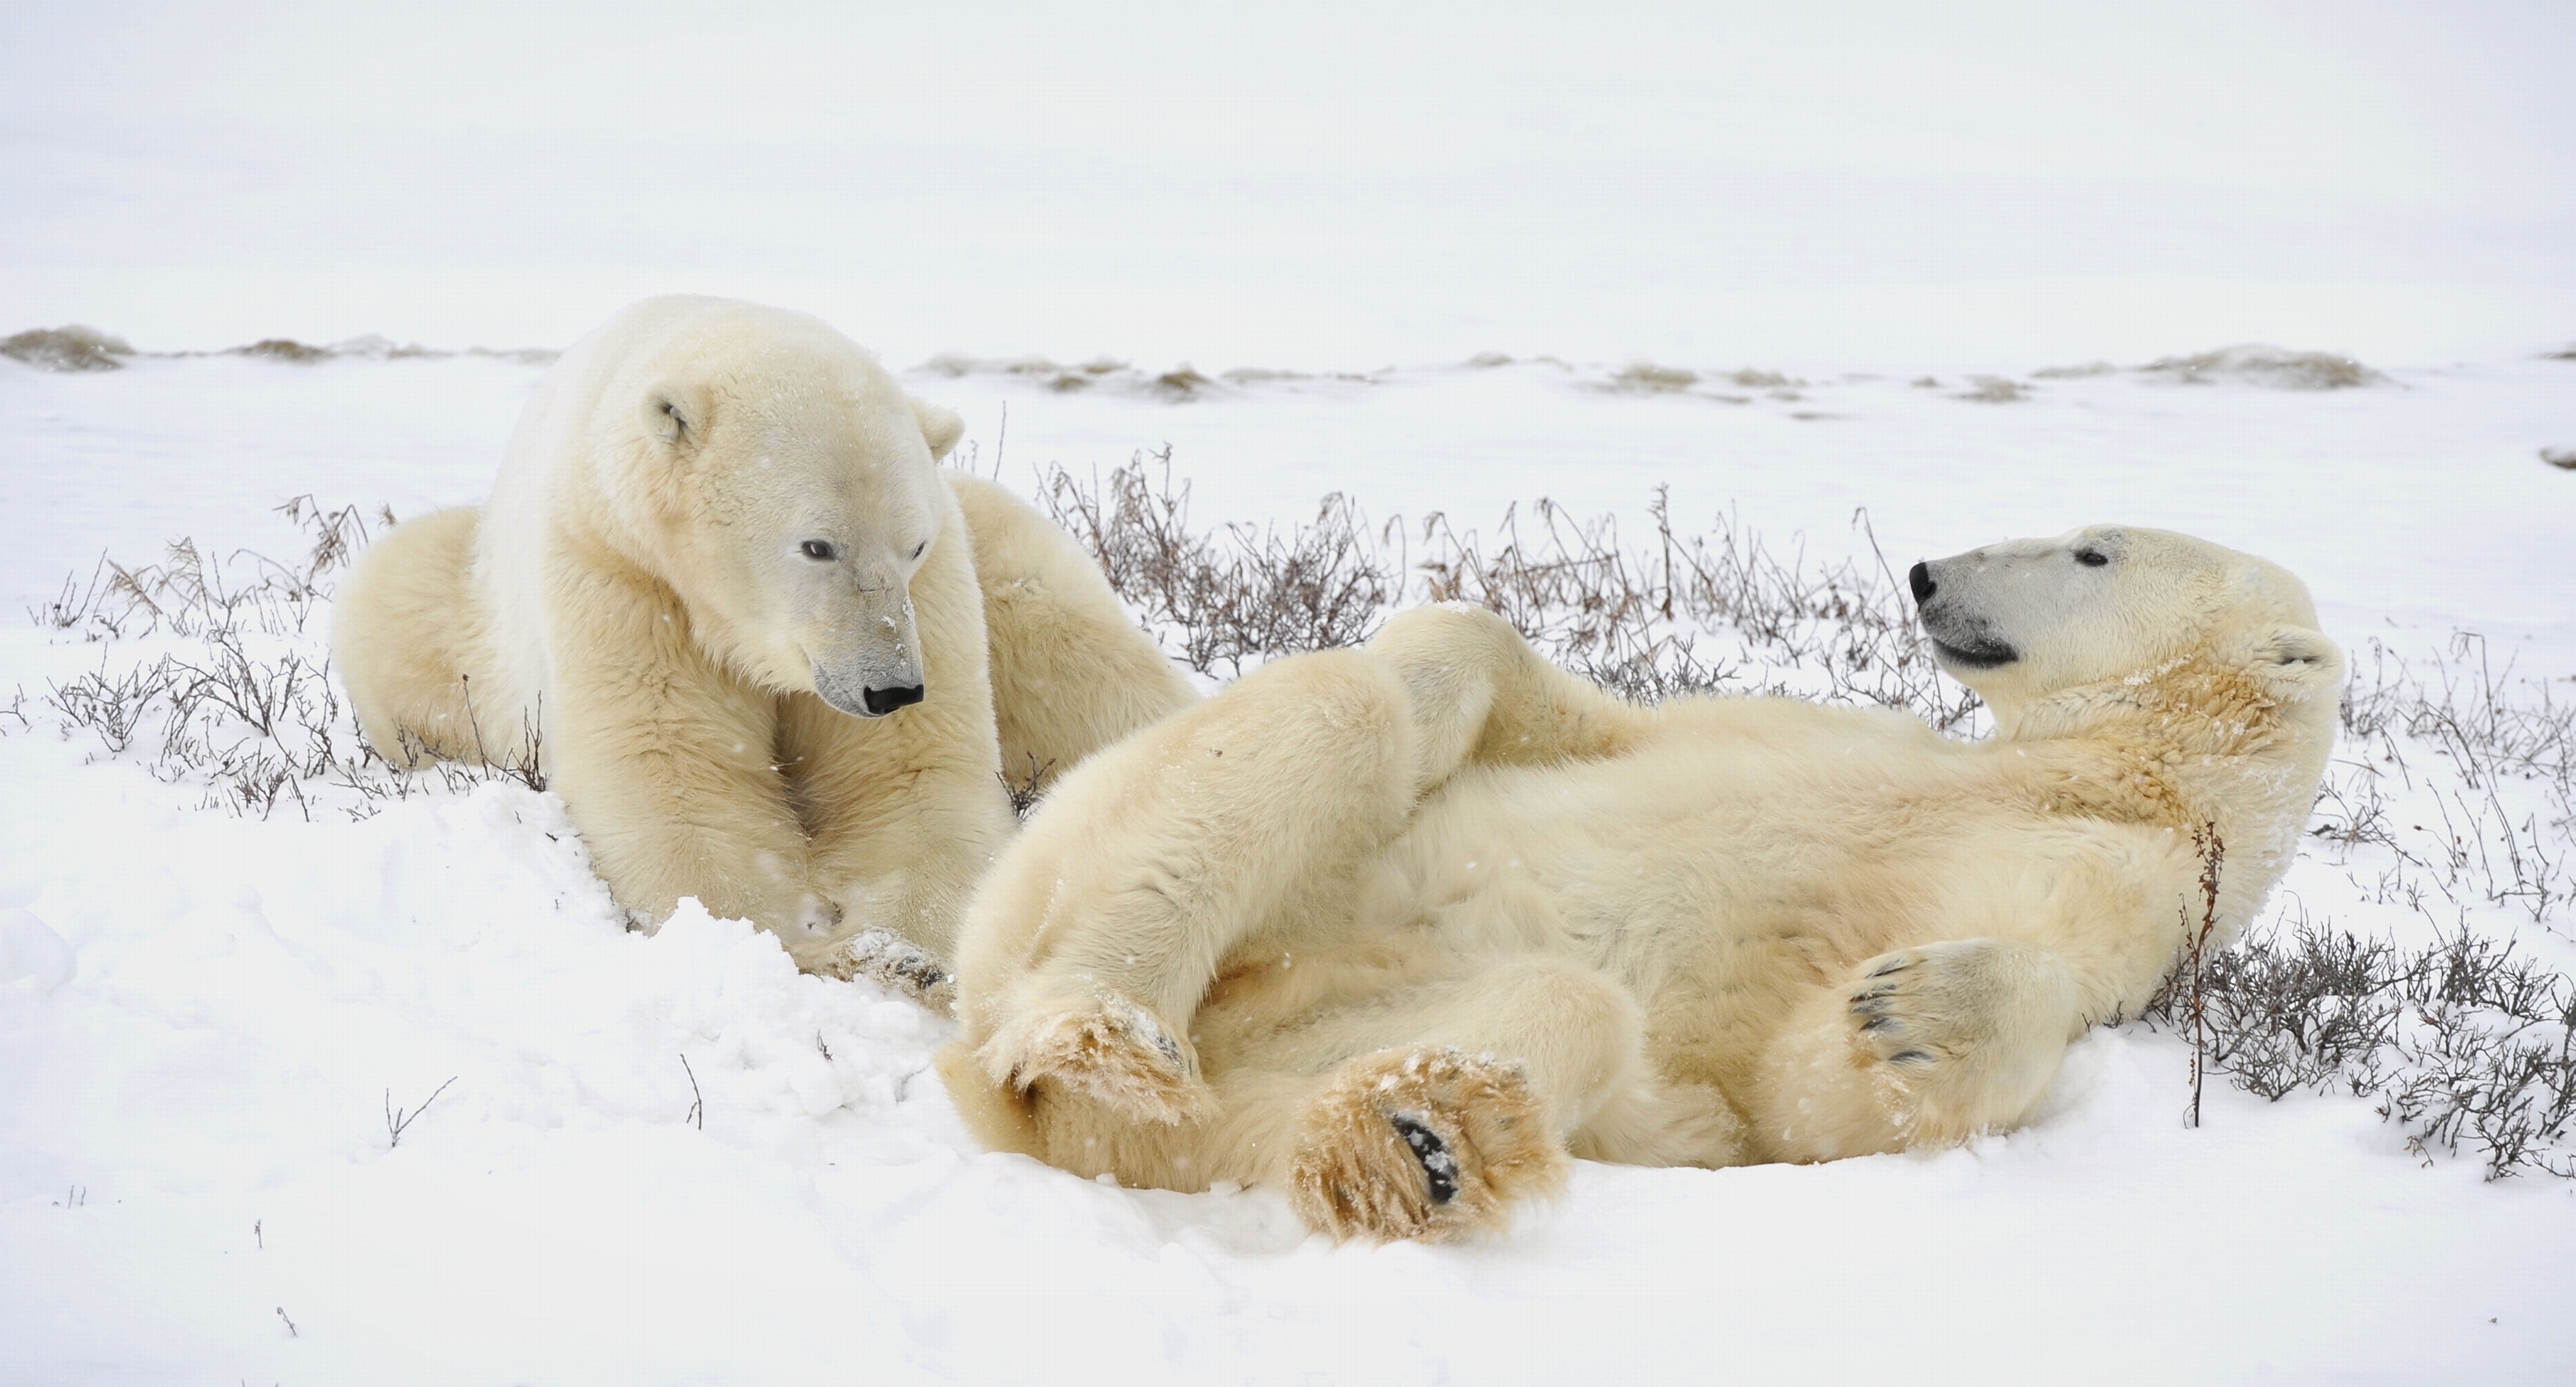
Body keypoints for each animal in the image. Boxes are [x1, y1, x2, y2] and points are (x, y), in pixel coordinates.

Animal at [938, 527, 2349, 1245]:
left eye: (2093, 553)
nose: (1929, 571)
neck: (2116, 774)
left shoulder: (2130, 893)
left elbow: (1808, 1095)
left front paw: (1910, 1007)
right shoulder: (1844, 736)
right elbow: (1575, 716)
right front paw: (1434, 681)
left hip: (1276, 1050)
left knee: (1565, 1019)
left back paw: (1415, 1136)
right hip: (1068, 863)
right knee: (1329, 719)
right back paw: (1105, 1025)